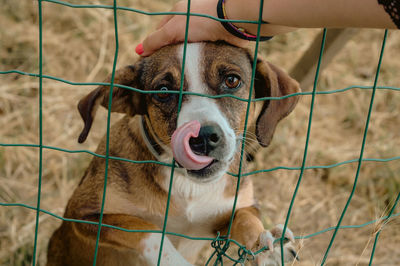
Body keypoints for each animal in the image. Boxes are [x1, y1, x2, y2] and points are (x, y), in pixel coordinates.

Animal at [47, 41, 300, 266]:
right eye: (163, 91)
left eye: (232, 80)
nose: (203, 137)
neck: (188, 185)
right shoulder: (84, 213)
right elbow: (149, 231)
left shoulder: (236, 209)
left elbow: (247, 219)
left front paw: (268, 248)